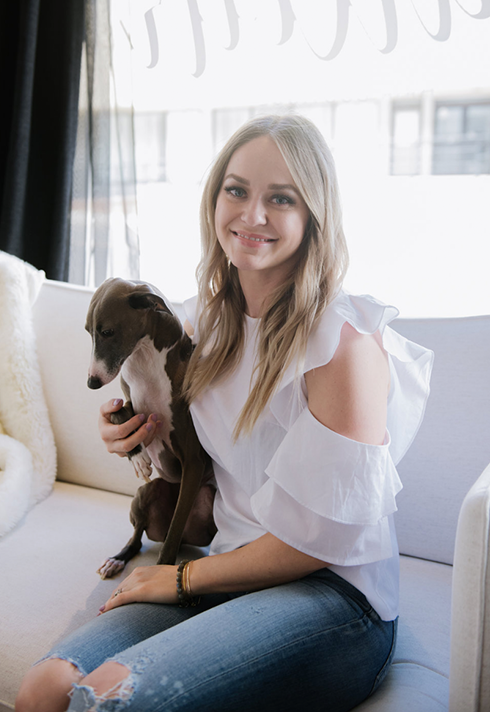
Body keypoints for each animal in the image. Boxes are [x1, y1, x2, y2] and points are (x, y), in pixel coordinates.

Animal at [85, 278, 215, 580]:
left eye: (107, 331)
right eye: (88, 332)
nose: (92, 383)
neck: (144, 361)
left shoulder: (193, 460)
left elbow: (172, 537)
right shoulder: (129, 402)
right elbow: (119, 413)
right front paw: (138, 457)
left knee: (175, 533)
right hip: (146, 493)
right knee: (137, 537)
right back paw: (117, 559)